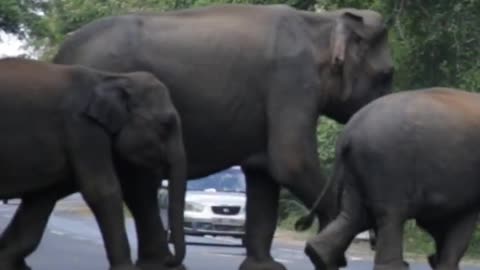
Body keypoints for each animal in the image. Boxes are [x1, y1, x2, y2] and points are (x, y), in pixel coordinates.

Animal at [0, 58, 186, 270]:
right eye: (165, 124)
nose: (169, 261)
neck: (111, 77)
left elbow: (43, 196)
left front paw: (7, 259)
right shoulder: (82, 126)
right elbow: (102, 190)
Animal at [53, 4, 394, 270]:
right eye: (387, 75)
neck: (321, 24)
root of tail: (59, 56)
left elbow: (263, 172)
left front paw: (265, 267)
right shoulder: (291, 82)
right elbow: (291, 162)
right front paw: (329, 257)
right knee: (137, 182)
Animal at [304, 86, 480, 270]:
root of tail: (348, 131)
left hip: (357, 167)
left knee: (355, 214)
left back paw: (319, 256)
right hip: (387, 164)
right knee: (390, 214)